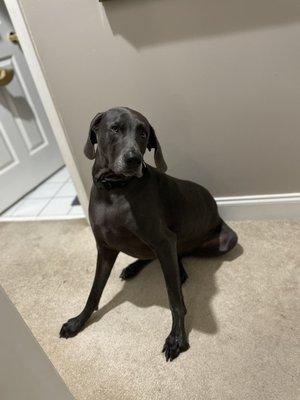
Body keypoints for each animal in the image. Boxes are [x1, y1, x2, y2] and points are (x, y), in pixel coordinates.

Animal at [60, 108, 239, 360]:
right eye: (115, 128)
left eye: (143, 133)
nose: (133, 160)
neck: (115, 190)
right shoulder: (105, 248)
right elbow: (94, 291)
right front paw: (77, 322)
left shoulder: (164, 241)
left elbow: (174, 297)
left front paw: (176, 338)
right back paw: (132, 267)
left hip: (226, 241)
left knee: (178, 261)